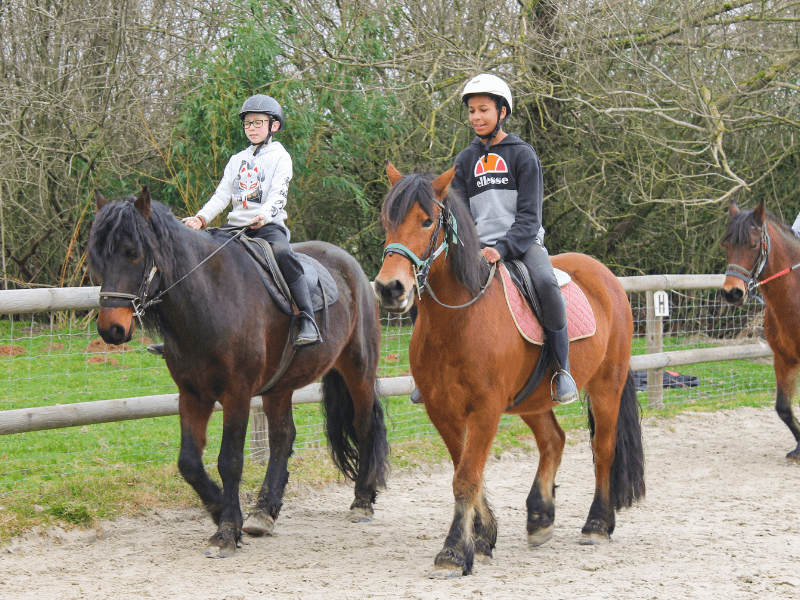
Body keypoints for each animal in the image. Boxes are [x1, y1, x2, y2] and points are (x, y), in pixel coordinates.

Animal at [89, 189, 390, 556]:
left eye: (134, 253)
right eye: (99, 257)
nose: (111, 330)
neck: (211, 297)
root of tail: (351, 265)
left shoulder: (237, 394)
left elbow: (229, 460)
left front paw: (227, 530)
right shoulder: (192, 394)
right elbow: (189, 462)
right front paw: (220, 509)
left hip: (358, 369)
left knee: (364, 425)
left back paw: (362, 501)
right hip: (280, 386)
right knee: (282, 438)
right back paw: (264, 513)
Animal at [374, 164, 644, 576]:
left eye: (426, 221)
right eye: (387, 220)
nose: (390, 288)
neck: (461, 318)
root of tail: (606, 275)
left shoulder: (485, 408)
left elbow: (467, 477)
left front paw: (453, 551)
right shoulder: (442, 409)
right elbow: (467, 470)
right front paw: (482, 538)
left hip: (606, 387)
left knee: (604, 448)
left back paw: (597, 524)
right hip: (533, 397)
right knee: (553, 440)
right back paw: (540, 517)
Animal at [720, 200, 800, 460]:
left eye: (754, 244)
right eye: (727, 244)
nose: (732, 293)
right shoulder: (784, 358)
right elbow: (783, 408)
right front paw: (799, 449)